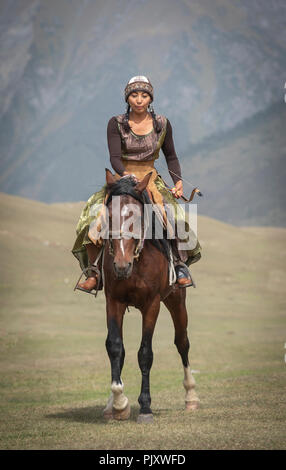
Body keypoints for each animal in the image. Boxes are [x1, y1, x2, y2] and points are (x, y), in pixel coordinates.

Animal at [100, 168, 199, 422]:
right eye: (109, 217)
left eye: (136, 218)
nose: (121, 265)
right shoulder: (113, 301)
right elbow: (115, 347)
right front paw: (118, 403)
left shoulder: (152, 304)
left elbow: (145, 353)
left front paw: (144, 406)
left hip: (176, 300)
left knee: (182, 342)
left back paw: (191, 397)